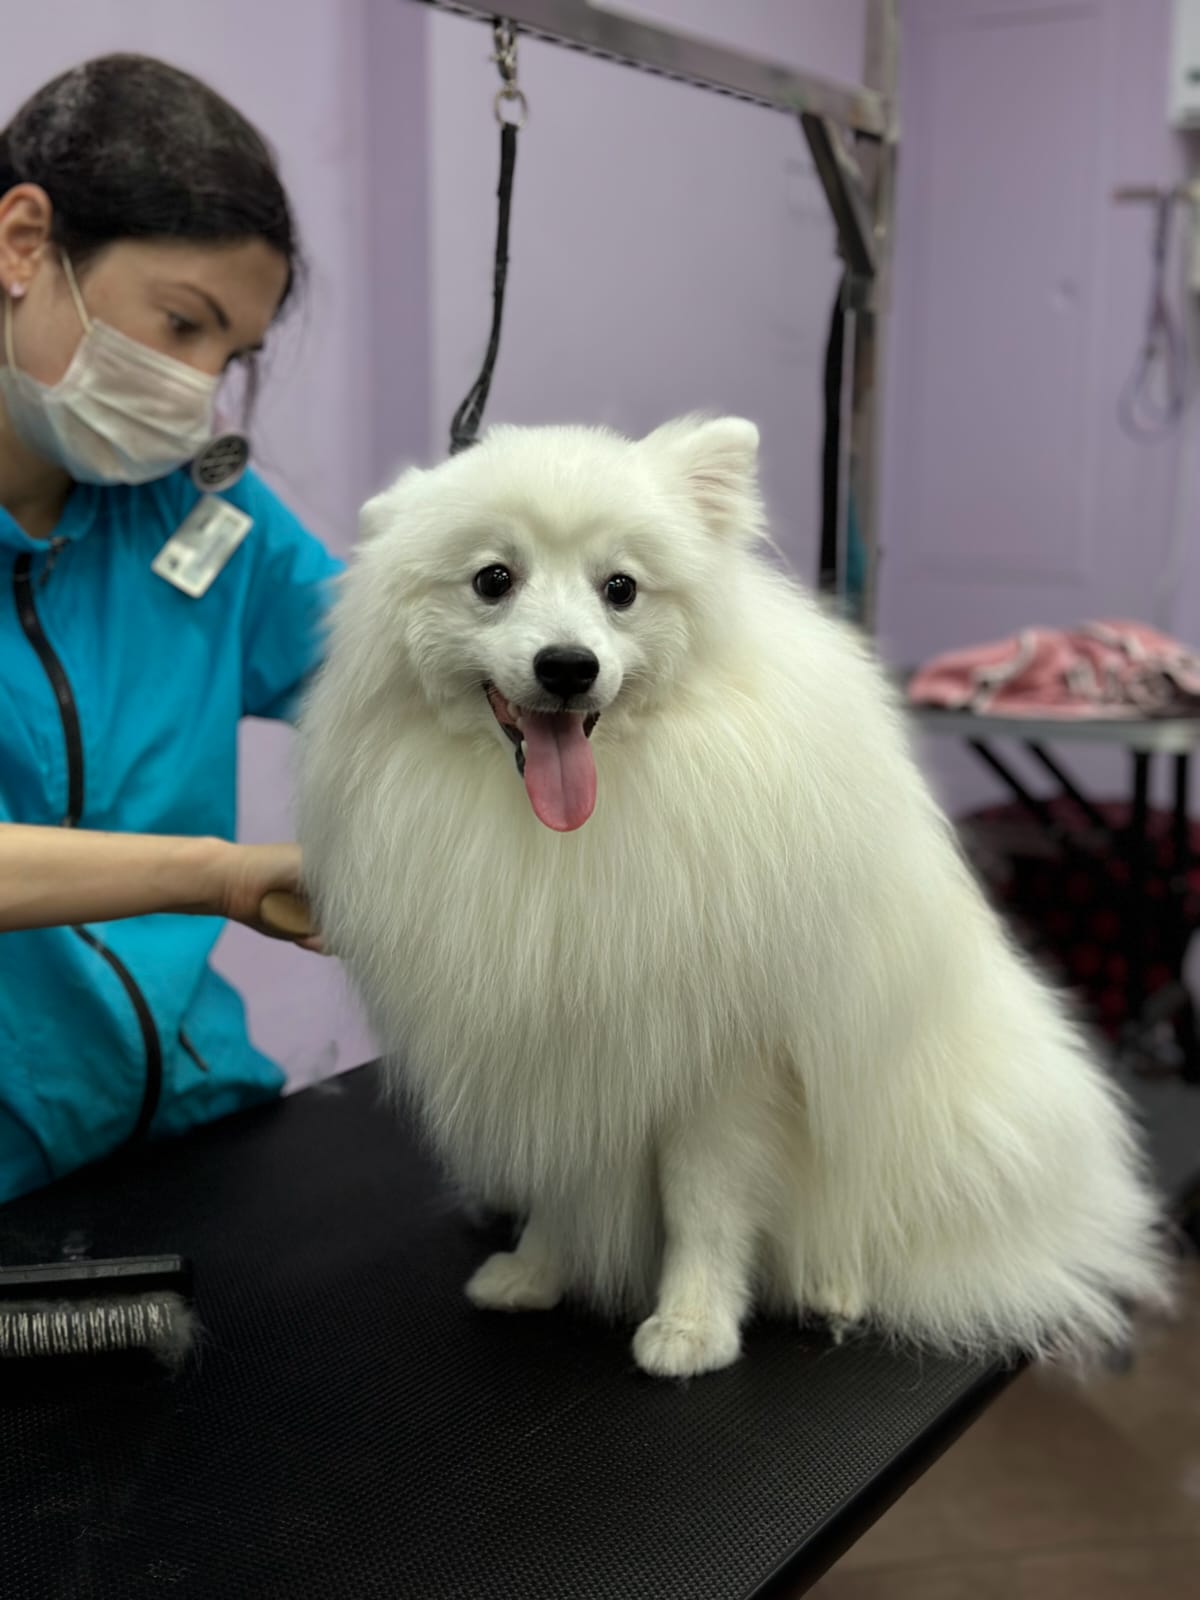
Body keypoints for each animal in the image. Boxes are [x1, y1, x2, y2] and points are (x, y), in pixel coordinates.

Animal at [296, 419, 1171, 1382]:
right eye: (494, 579)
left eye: (621, 589)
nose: (568, 666)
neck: (566, 834)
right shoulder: (559, 1050)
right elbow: (563, 1183)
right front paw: (537, 1271)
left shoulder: (724, 1066)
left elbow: (703, 1207)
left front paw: (693, 1326)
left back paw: (837, 1284)